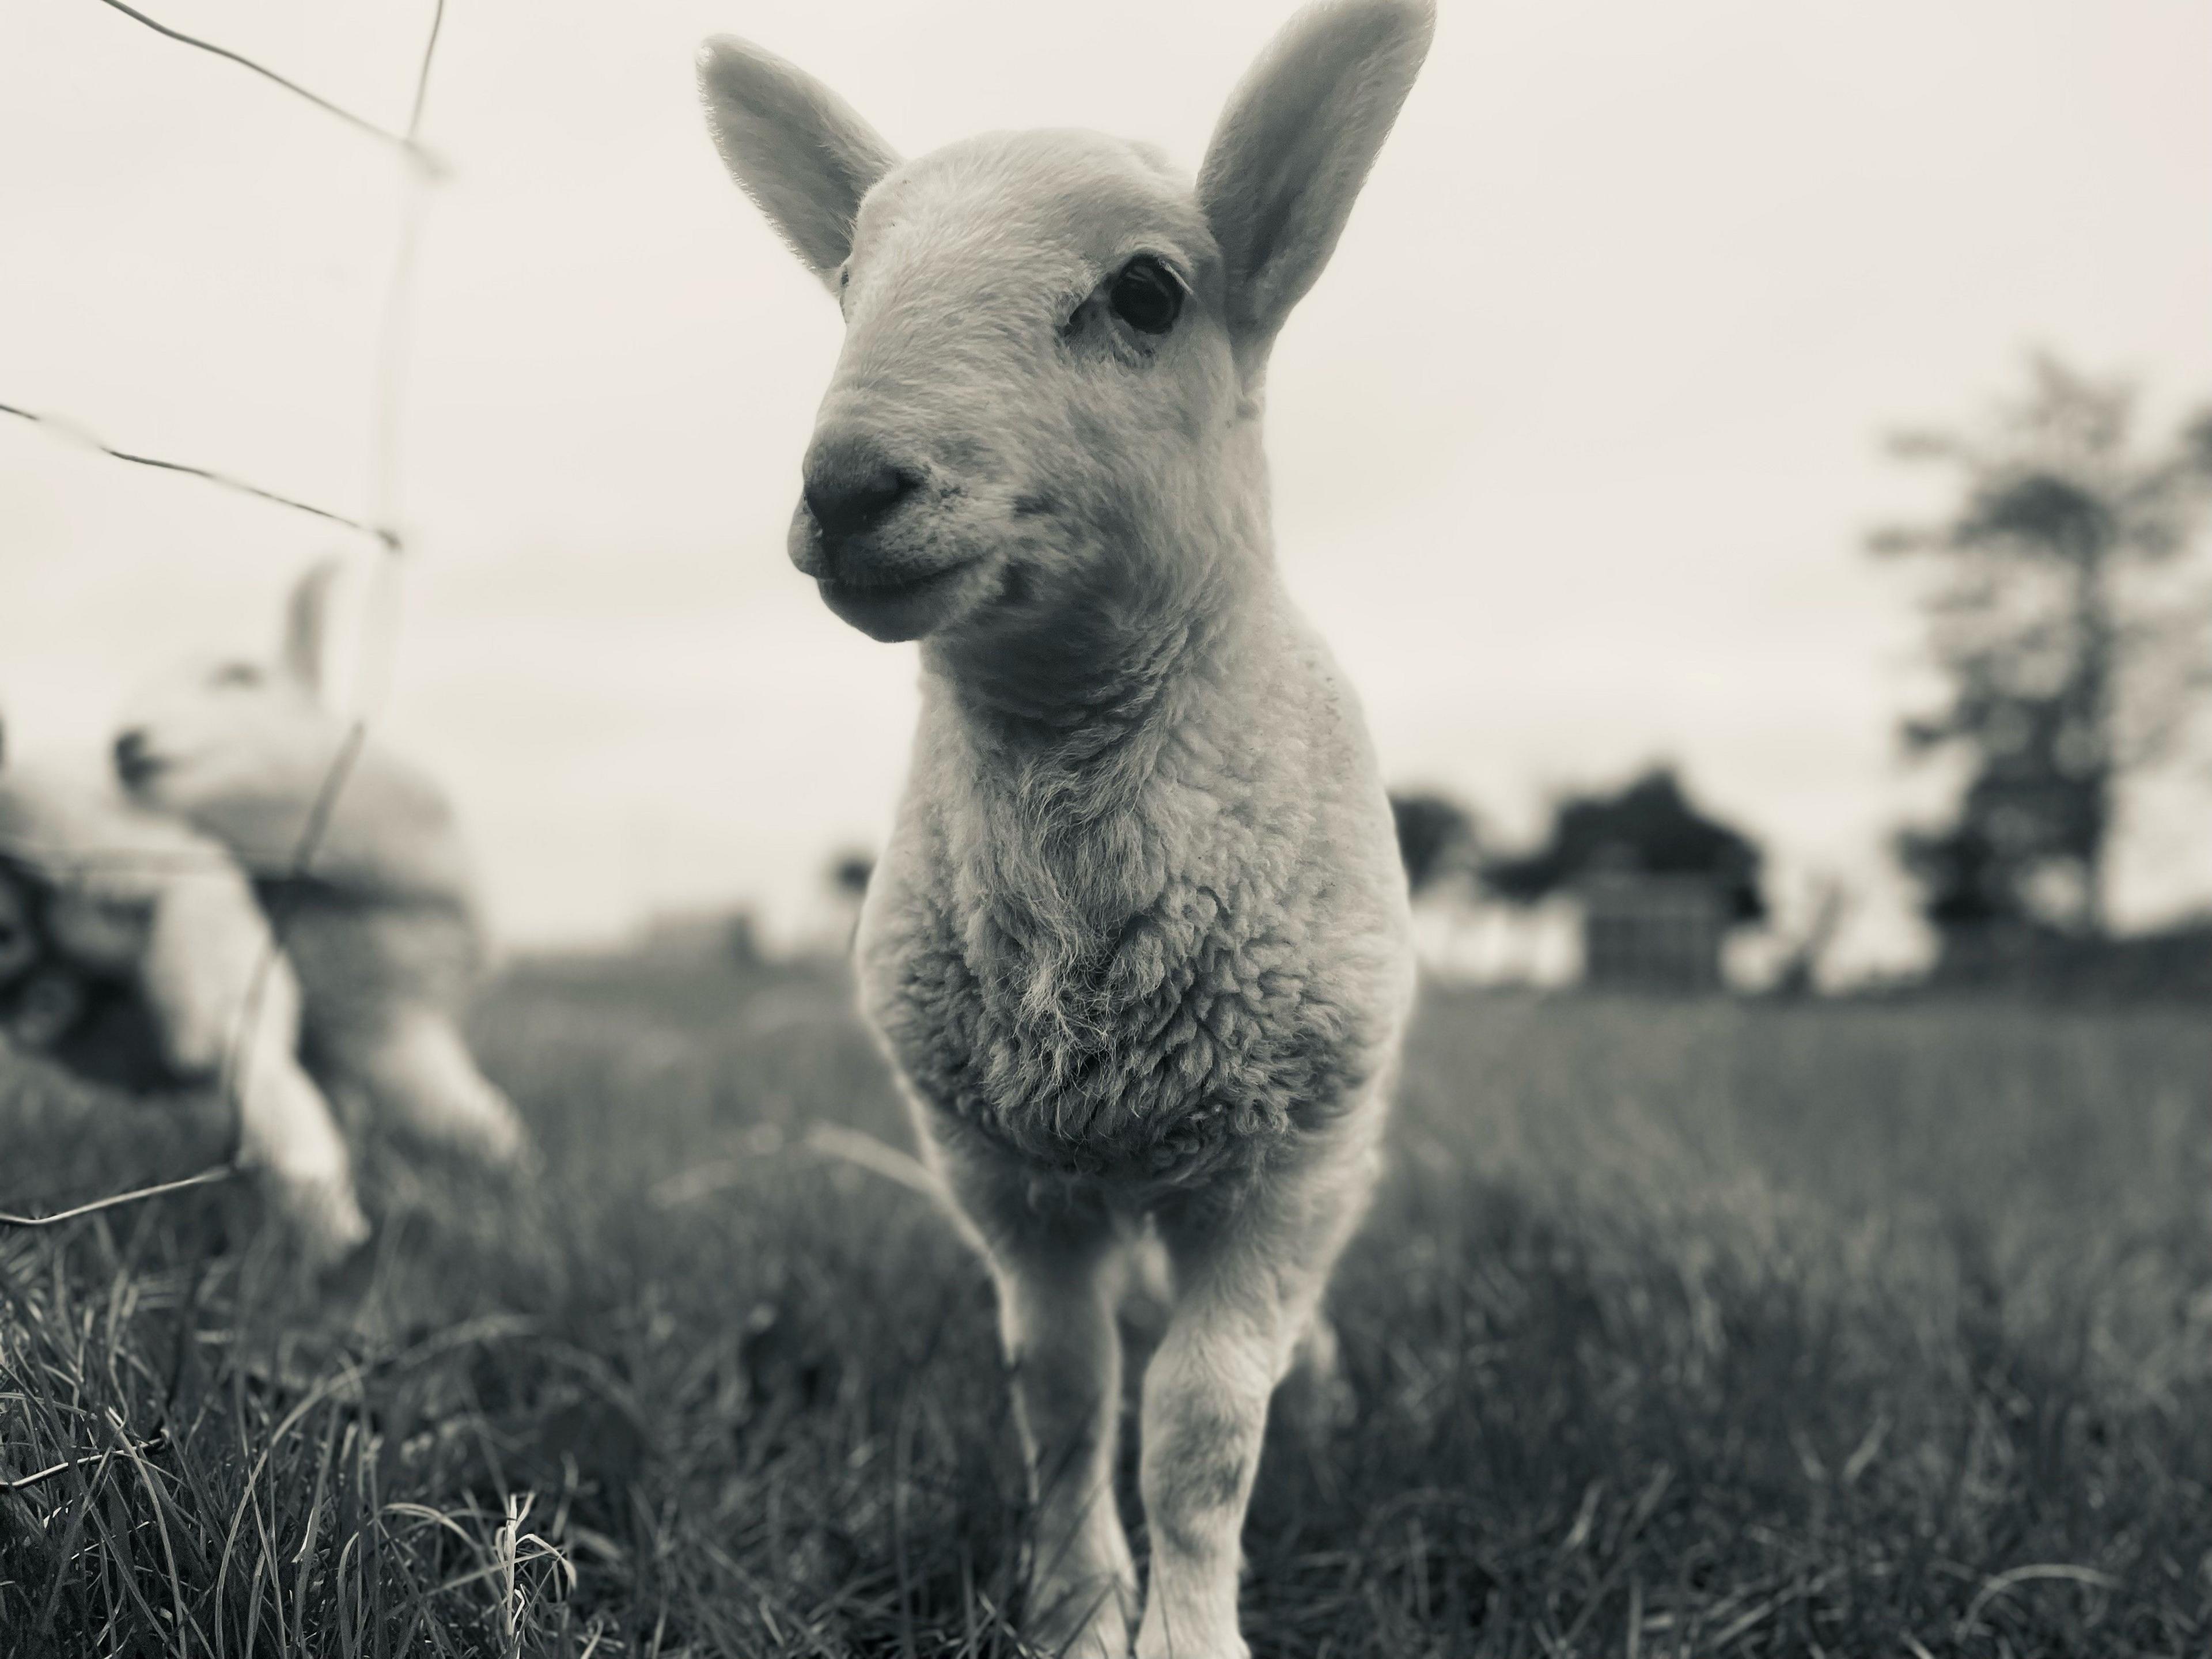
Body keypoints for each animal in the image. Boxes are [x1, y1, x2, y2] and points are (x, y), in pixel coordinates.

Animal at [699, 6, 1442, 1654]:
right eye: (849, 280)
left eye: (1148, 294)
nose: (849, 488)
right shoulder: (1001, 1175)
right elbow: (1065, 1393)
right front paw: (1077, 1607)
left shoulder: (1276, 1166)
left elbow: (1203, 1426)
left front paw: (1187, 1626)